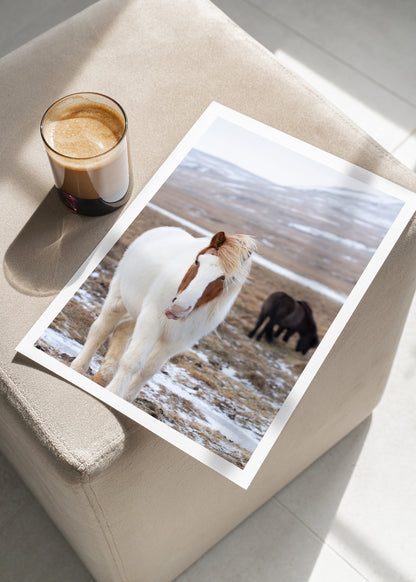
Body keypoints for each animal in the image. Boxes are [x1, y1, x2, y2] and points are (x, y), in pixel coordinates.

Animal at [71, 227, 254, 402]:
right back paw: (78, 367)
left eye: (224, 278)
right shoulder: (151, 321)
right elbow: (133, 361)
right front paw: (114, 392)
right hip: (118, 300)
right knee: (101, 329)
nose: (179, 308)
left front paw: (125, 397)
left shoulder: (176, 342)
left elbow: (148, 369)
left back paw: (103, 376)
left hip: (138, 315)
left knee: (121, 330)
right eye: (197, 262)